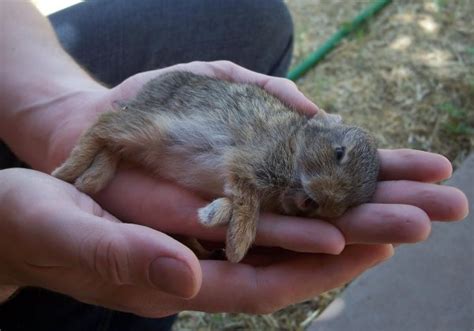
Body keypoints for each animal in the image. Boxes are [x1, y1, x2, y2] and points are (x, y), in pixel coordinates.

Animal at [51, 71, 380, 264]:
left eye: (349, 205)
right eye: (339, 152)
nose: (324, 202)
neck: (294, 147)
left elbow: (235, 199)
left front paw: (214, 217)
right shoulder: (248, 164)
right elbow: (247, 203)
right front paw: (237, 246)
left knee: (112, 144)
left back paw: (92, 179)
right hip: (152, 127)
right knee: (103, 124)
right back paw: (67, 171)